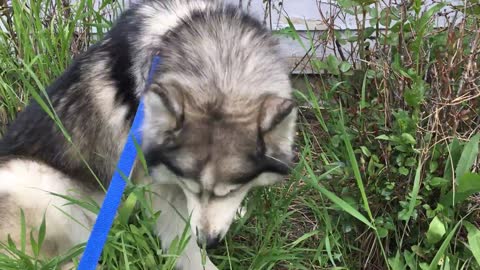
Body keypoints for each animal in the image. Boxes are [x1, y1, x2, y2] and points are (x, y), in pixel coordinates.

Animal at [0, 1, 296, 268]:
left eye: (232, 189)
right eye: (189, 185)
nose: (208, 241)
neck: (221, 61)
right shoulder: (158, 186)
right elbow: (182, 241)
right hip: (36, 180)